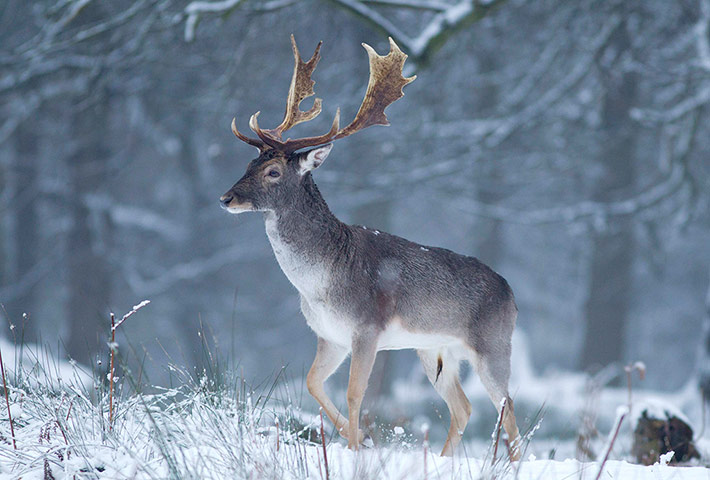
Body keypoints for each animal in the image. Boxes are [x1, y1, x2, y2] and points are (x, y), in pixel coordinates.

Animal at [220, 35, 521, 459]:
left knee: (508, 408)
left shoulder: (367, 328)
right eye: (249, 164)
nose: (226, 198)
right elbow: (312, 382)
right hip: (434, 350)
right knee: (463, 407)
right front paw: (357, 437)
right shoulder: (329, 335)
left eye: (273, 172)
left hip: (493, 344)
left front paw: (355, 445)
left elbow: (354, 392)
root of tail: (512, 294)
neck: (319, 284)